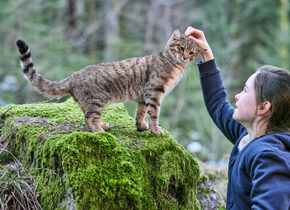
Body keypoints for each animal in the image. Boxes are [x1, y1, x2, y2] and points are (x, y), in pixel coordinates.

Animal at [15, 29, 202, 135]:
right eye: (181, 48)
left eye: (193, 52)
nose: (186, 57)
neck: (174, 65)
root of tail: (73, 76)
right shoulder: (154, 92)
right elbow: (154, 115)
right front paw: (156, 131)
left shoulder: (143, 96)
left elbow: (141, 113)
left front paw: (141, 127)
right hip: (95, 102)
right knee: (90, 119)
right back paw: (100, 131)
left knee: (88, 118)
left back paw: (103, 126)